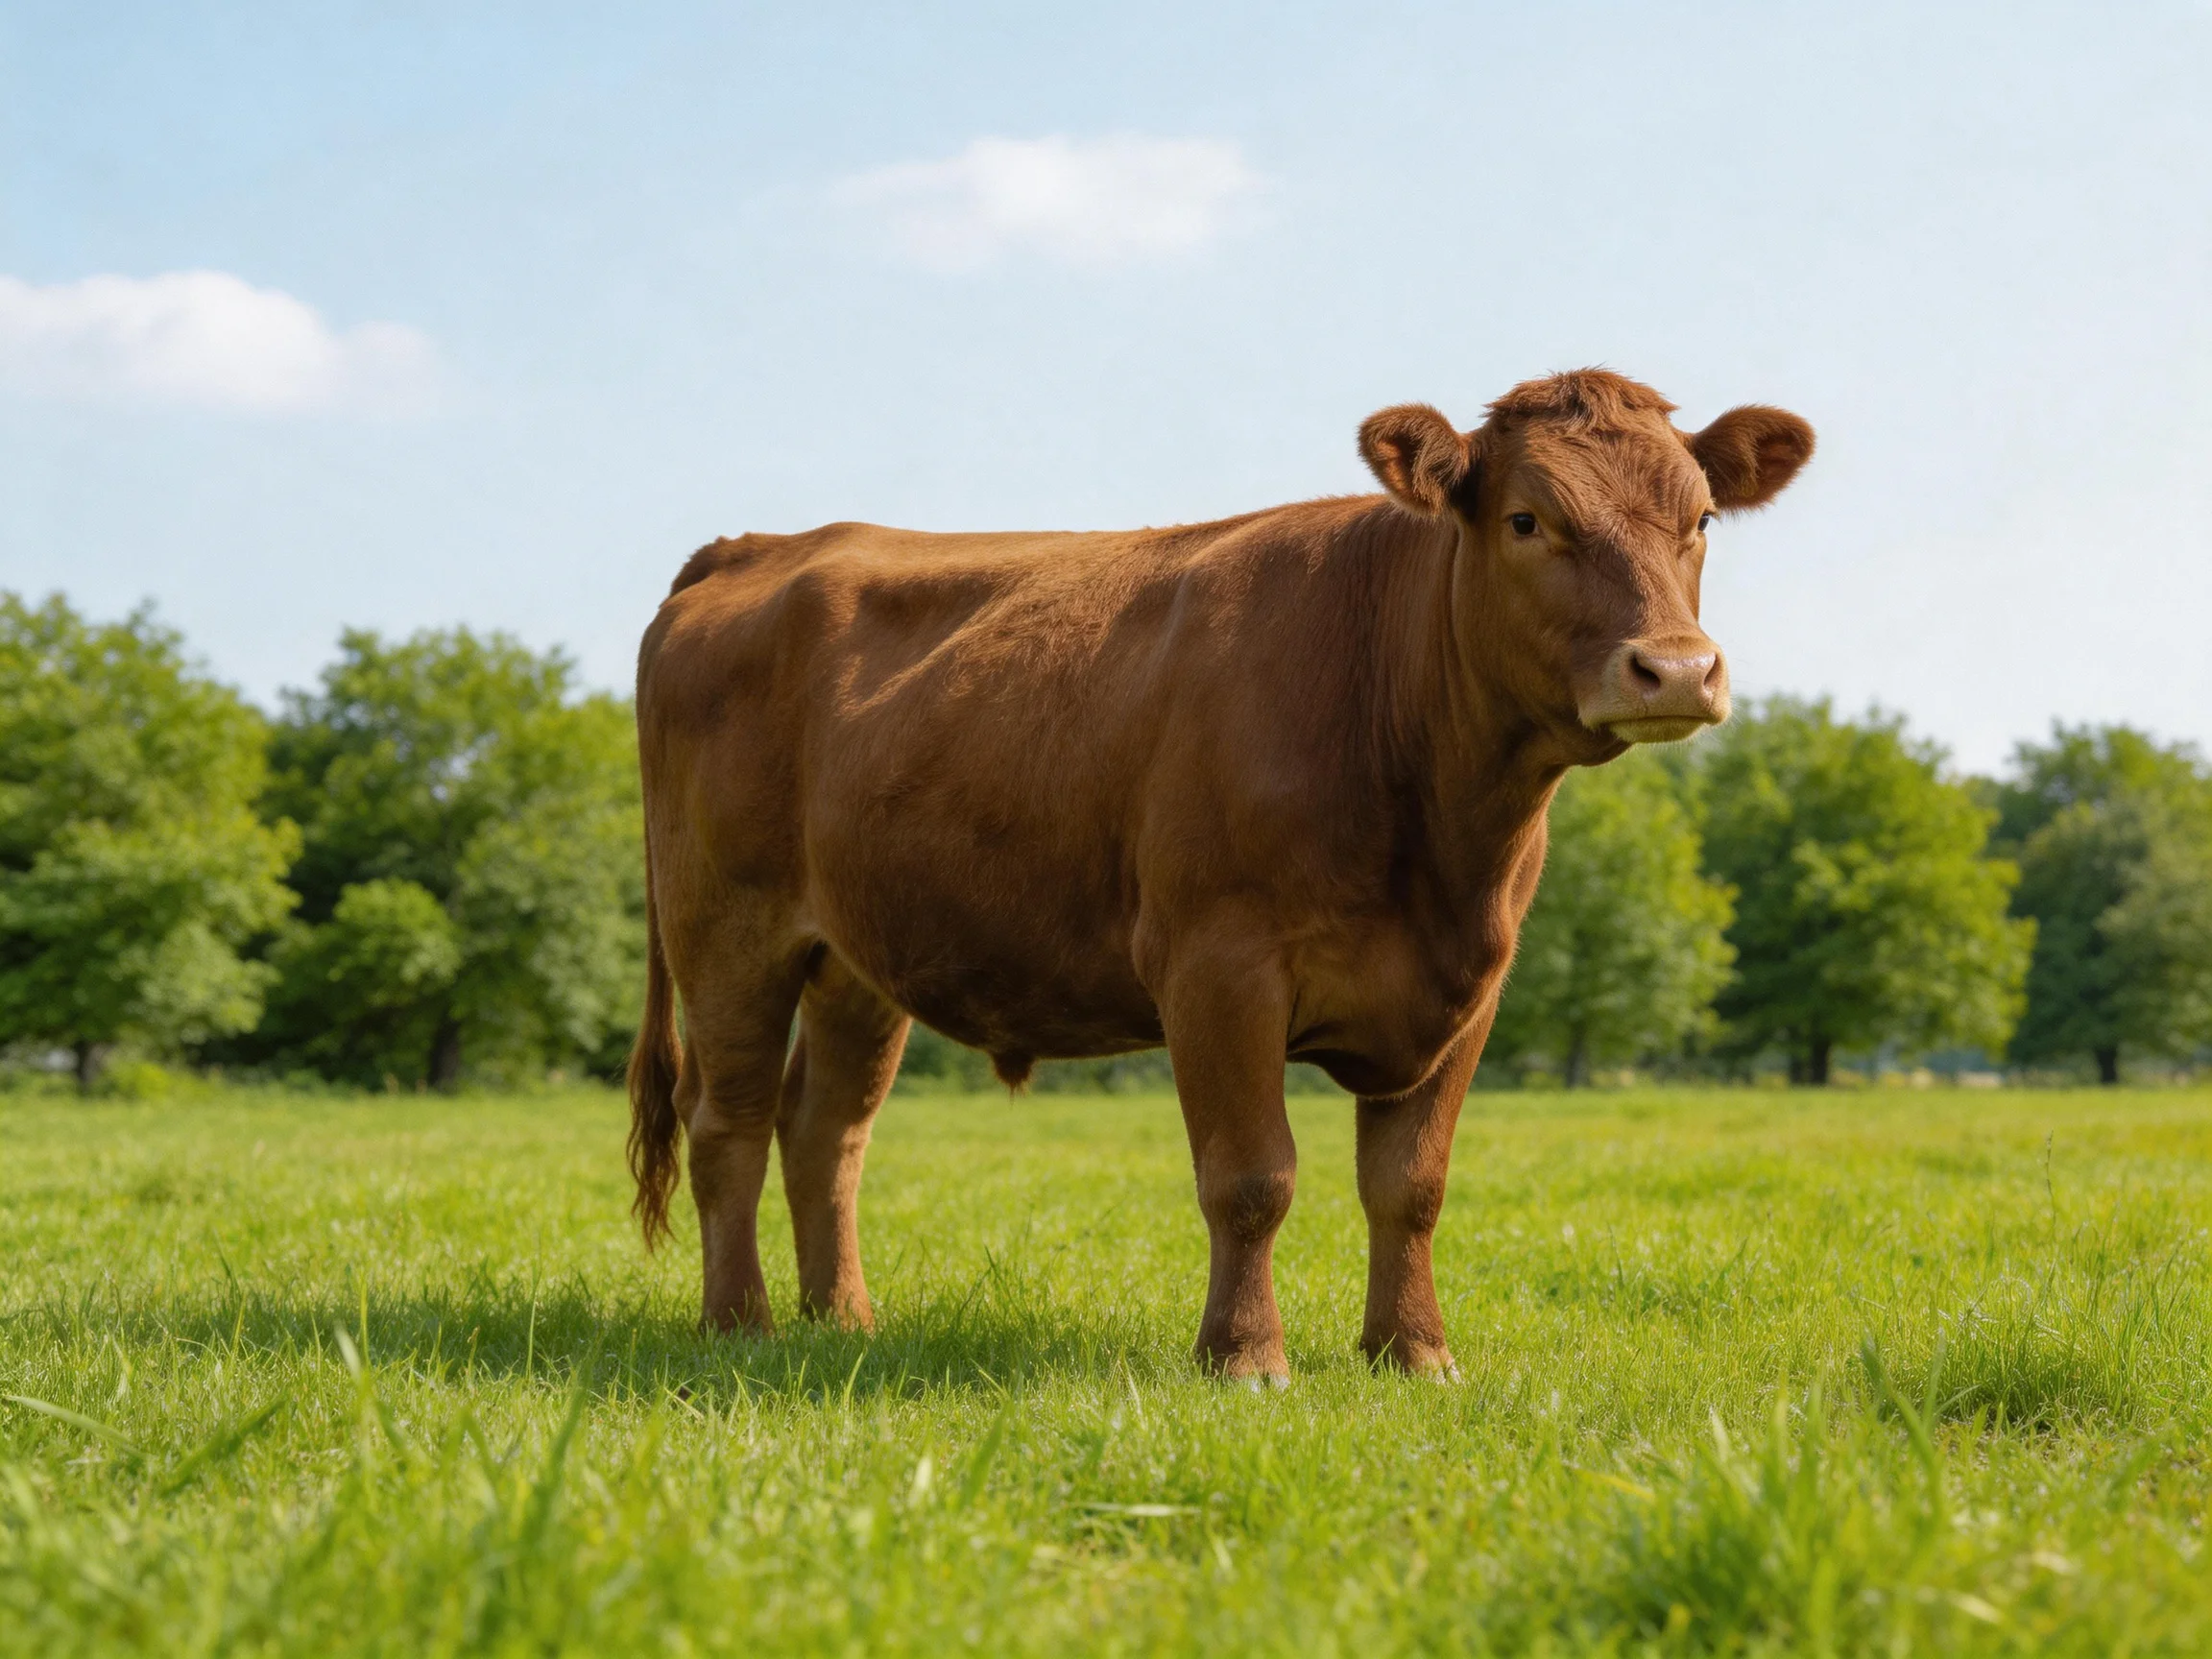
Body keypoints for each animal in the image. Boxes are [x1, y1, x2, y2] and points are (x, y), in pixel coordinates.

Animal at [626, 369, 1813, 1382]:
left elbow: (1411, 1186)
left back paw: (844, 1320)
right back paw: (740, 1326)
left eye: (1701, 520)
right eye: (1528, 520)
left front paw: (1413, 1353)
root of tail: (761, 545)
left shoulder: (1469, 988)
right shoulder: (1217, 964)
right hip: (727, 930)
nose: (1676, 668)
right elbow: (1251, 1177)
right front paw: (1245, 1357)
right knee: (726, 1120)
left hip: (855, 961)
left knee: (826, 1131)